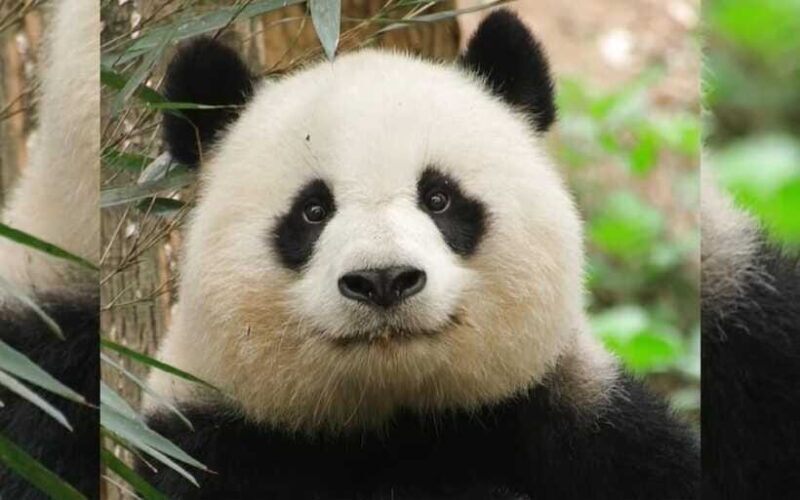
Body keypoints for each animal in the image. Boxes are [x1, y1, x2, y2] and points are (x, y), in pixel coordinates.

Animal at [140, 10, 699, 499]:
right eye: (313, 211)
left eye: (439, 198)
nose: (383, 279)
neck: (402, 422)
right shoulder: (209, 443)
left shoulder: (584, 418)